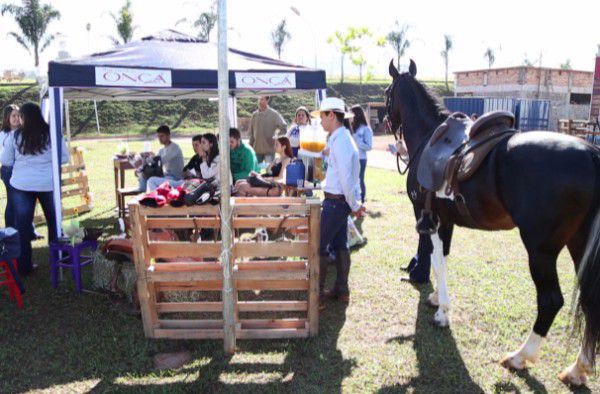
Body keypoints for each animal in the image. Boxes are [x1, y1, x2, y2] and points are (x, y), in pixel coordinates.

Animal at [386, 60, 596, 386]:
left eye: (387, 93)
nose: (385, 121)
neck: (428, 138)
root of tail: (590, 154)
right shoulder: (446, 221)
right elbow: (442, 259)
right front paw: (436, 298)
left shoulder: (428, 216)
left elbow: (436, 261)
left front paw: (443, 312)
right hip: (579, 244)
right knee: (590, 301)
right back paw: (578, 369)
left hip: (541, 251)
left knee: (551, 300)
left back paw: (521, 356)